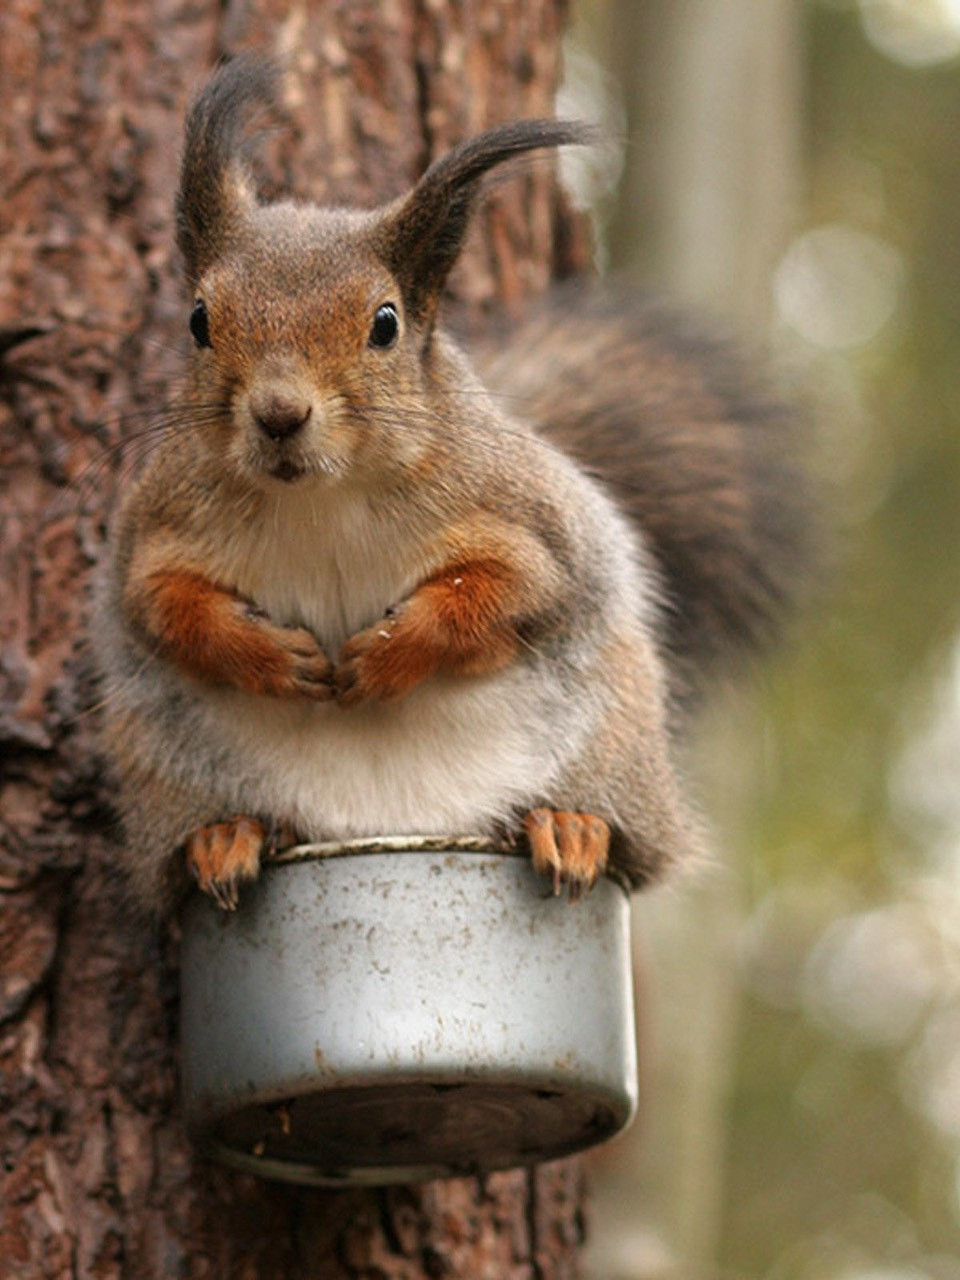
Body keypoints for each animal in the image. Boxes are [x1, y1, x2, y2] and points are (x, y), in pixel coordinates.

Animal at [96, 57, 803, 911]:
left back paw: (573, 827)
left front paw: (389, 653)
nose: (279, 414)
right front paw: (264, 653)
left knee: (632, 842)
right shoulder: (157, 529)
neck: (320, 497)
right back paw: (223, 838)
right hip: (167, 775)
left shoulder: (528, 520)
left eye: (386, 323)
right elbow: (162, 606)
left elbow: (509, 591)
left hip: (615, 743)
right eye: (200, 320)